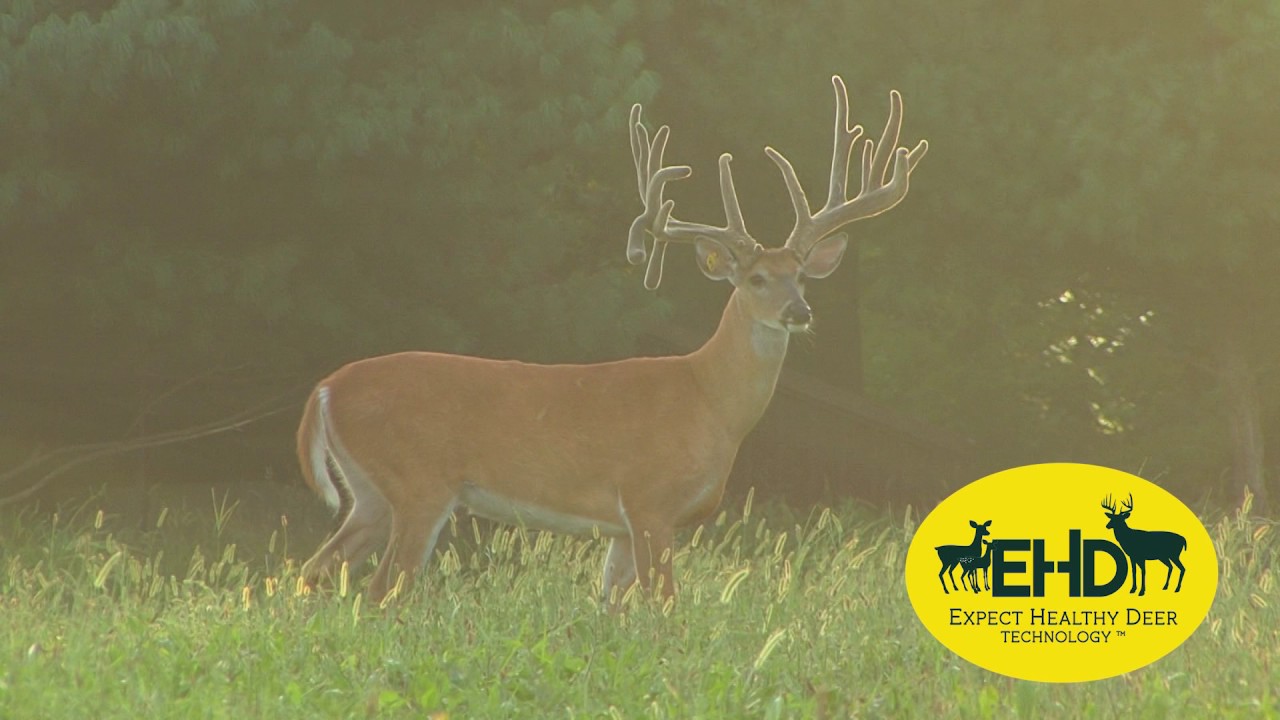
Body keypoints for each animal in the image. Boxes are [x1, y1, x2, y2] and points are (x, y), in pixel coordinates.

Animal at [295, 76, 928, 607]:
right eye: (756, 279)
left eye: (800, 276)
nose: (800, 311)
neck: (710, 400)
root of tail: (325, 389)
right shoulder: (650, 501)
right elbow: (664, 607)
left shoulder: (624, 526)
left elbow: (614, 610)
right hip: (419, 483)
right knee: (381, 589)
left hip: (371, 494)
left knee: (315, 571)